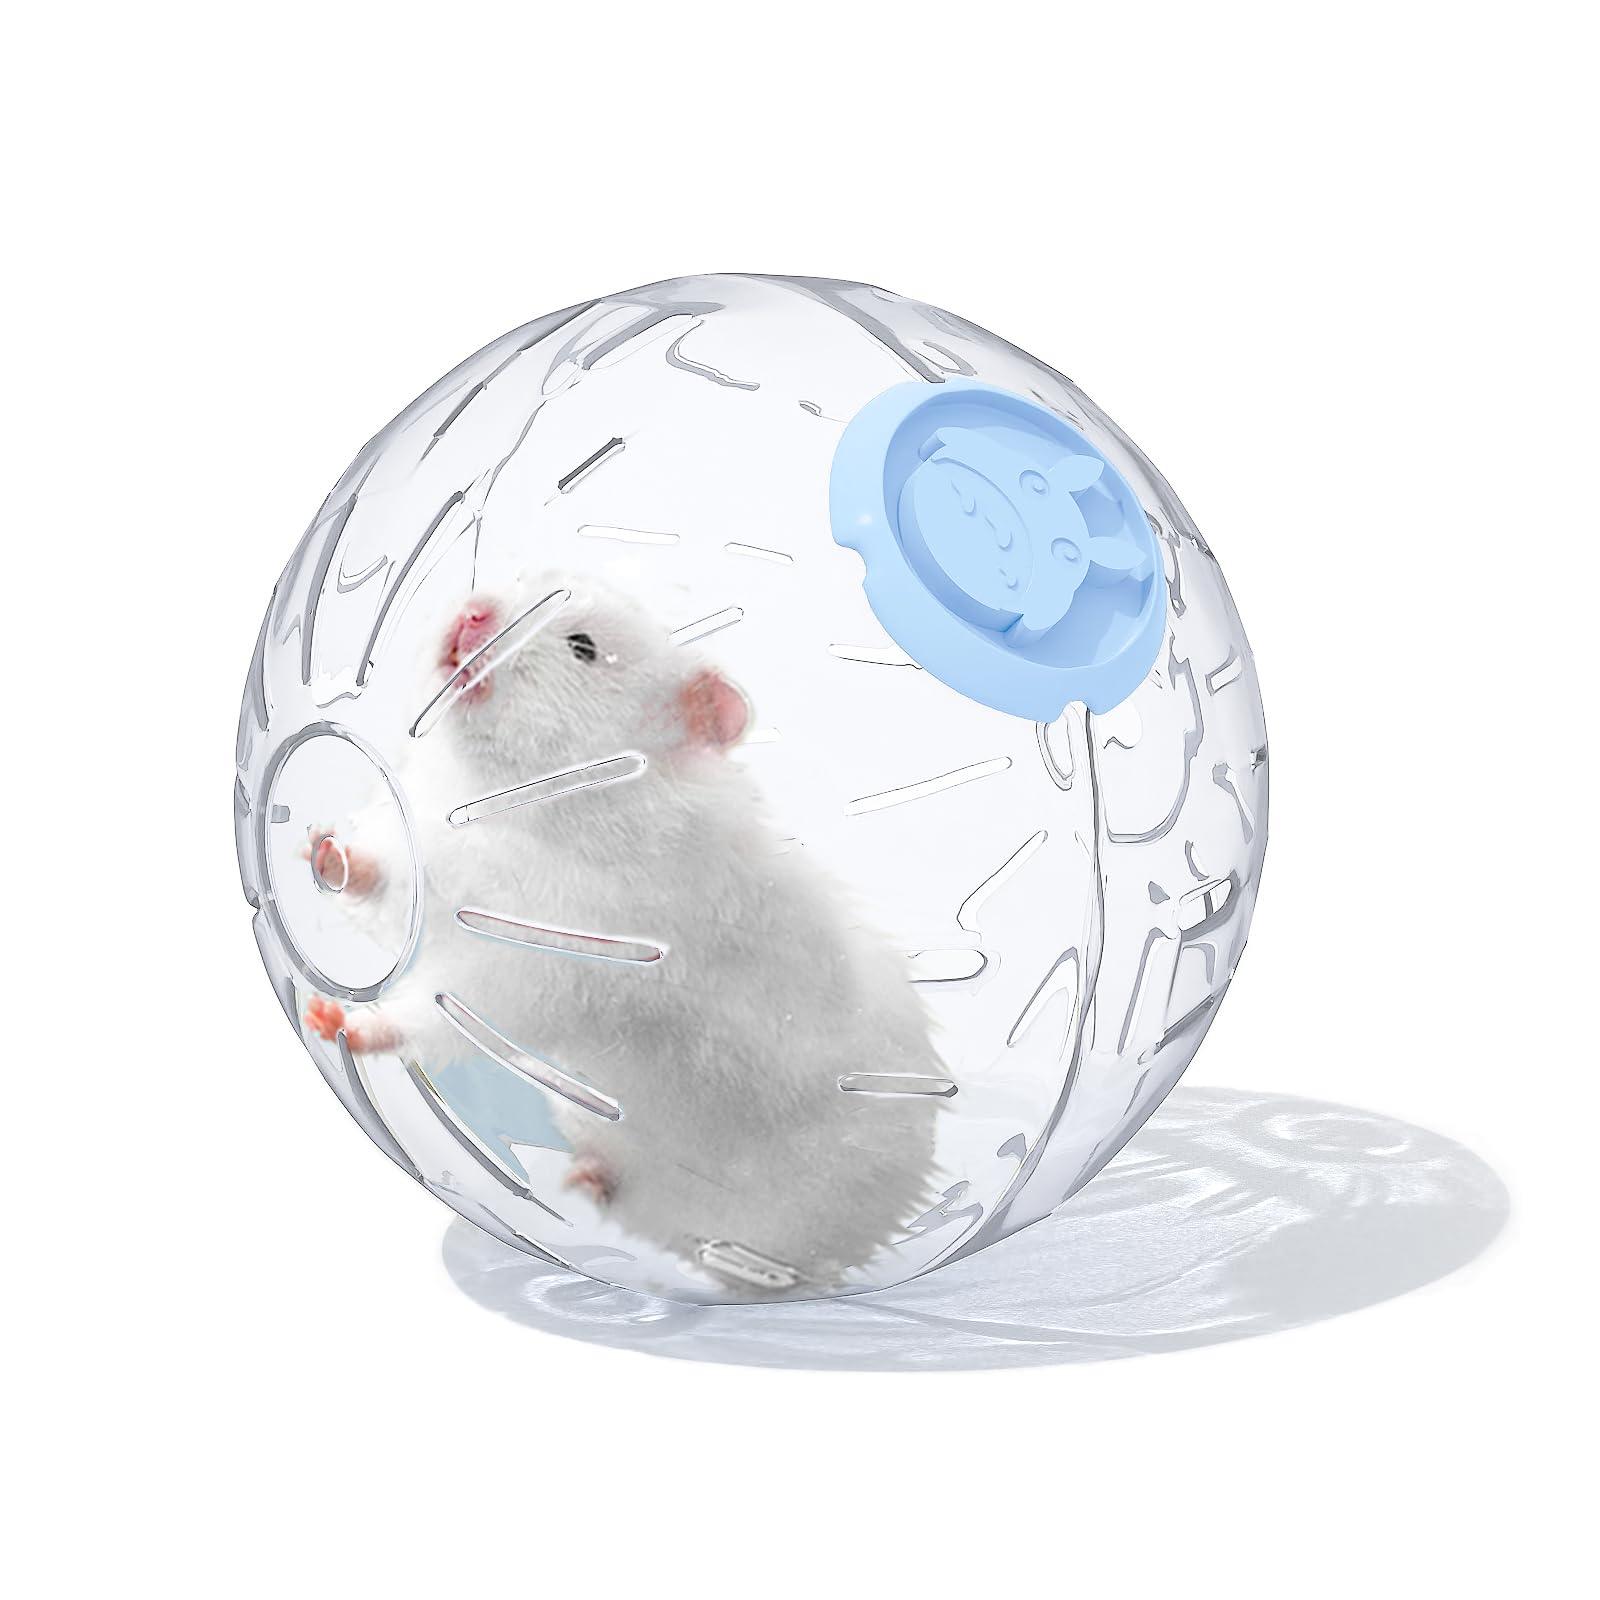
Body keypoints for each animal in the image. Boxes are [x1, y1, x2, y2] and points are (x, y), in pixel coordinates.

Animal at [303, 572, 945, 1294]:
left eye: (583, 647)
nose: (473, 611)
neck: (518, 803)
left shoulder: (536, 968)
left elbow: (428, 1014)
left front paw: (333, 1020)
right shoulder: (433, 865)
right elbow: (384, 880)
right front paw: (320, 850)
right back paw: (583, 1179)